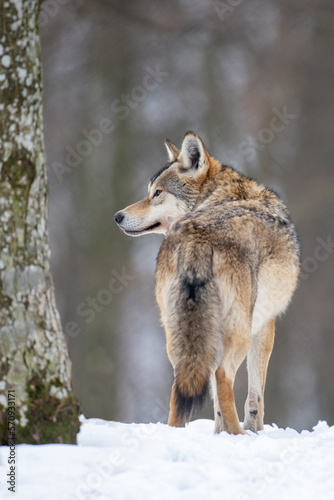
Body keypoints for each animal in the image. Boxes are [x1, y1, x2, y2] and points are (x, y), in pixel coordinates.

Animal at [115, 133, 300, 434]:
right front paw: (253, 431)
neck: (221, 195)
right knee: (223, 375)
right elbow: (256, 395)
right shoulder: (266, 324)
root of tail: (197, 237)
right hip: (238, 332)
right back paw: (238, 435)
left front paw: (218, 434)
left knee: (182, 387)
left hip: (179, 336)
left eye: (157, 193)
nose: (117, 216)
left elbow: (216, 405)